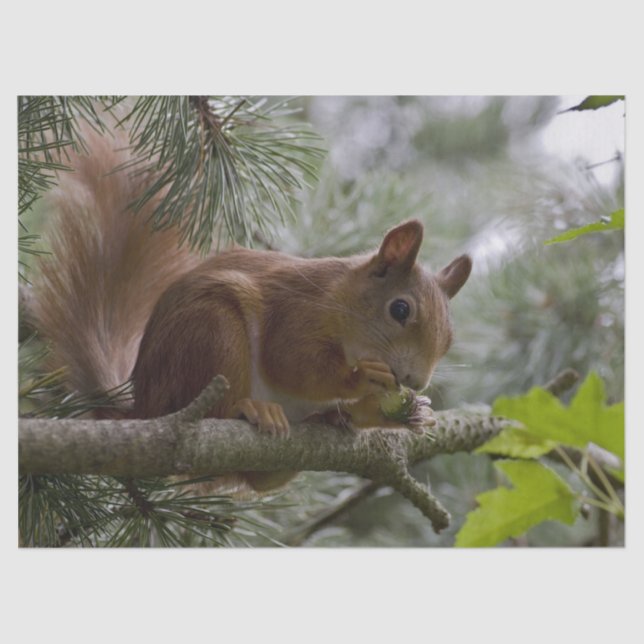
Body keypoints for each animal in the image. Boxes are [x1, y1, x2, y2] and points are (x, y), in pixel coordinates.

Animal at [31, 127, 472, 493]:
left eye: (451, 338)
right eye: (400, 310)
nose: (415, 381)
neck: (341, 301)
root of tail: (144, 410)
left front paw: (402, 413)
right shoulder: (297, 313)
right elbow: (293, 363)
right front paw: (363, 378)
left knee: (263, 481)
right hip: (212, 331)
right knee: (219, 409)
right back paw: (250, 408)